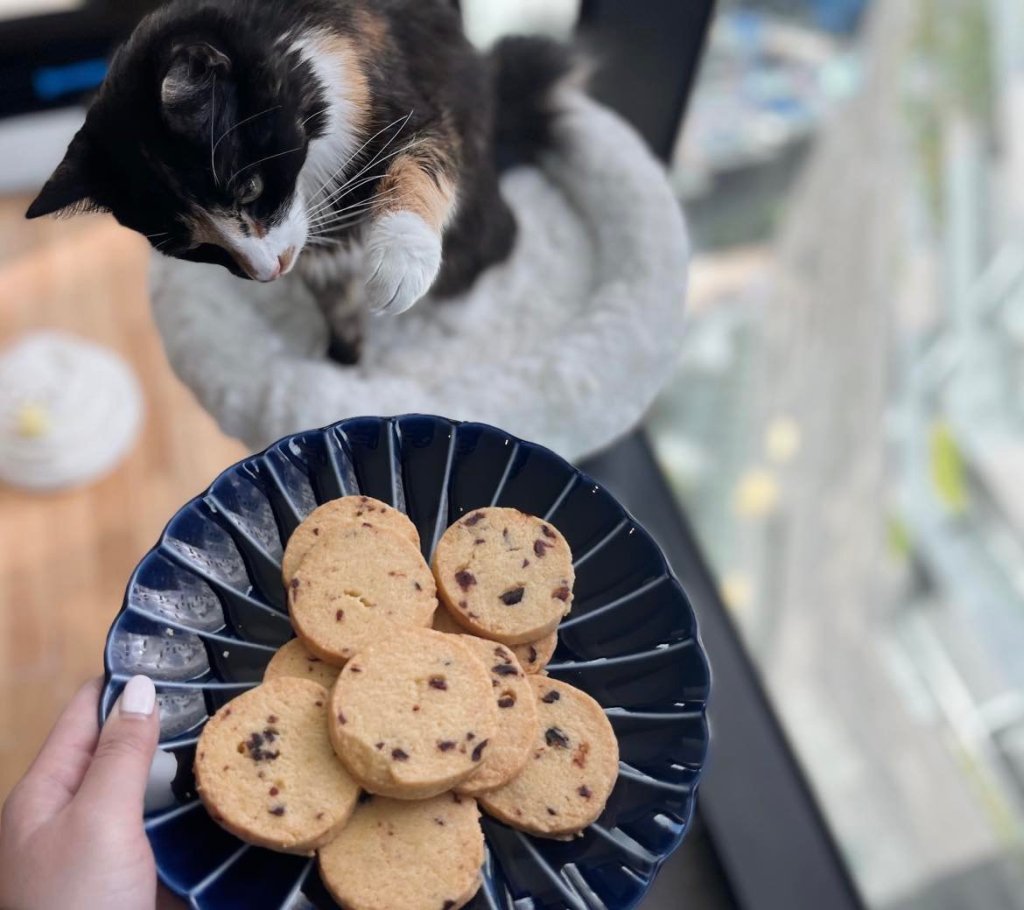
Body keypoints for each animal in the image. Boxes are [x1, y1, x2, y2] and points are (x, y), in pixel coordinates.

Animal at [26, 0, 571, 362]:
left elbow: (425, 153)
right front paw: (344, 367)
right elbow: (336, 303)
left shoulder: (408, 90)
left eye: (248, 189)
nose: (269, 271)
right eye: (192, 247)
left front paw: (399, 262)